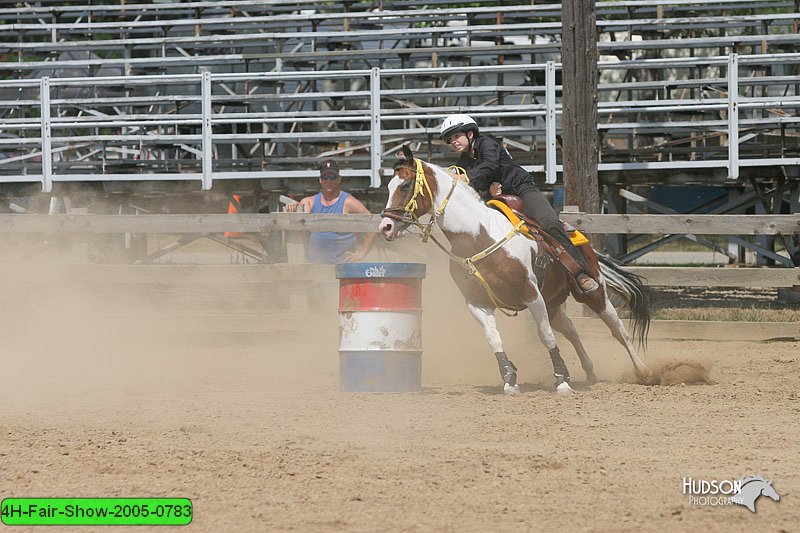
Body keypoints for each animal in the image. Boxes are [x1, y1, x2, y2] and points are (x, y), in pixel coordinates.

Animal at [380, 145, 648, 394]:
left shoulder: (531, 294)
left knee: (617, 329)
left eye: (404, 186)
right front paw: (510, 380)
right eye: (389, 187)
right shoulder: (477, 302)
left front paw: (562, 381)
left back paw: (642, 370)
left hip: (593, 292)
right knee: (571, 330)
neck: (480, 237)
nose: (386, 226)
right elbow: (494, 339)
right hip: (553, 303)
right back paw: (590, 371)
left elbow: (545, 336)